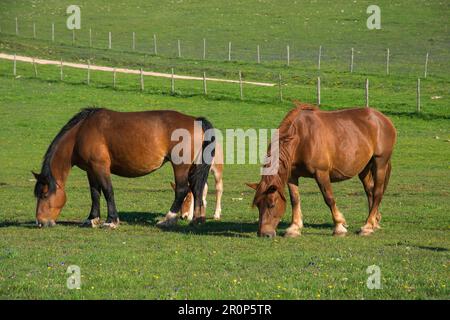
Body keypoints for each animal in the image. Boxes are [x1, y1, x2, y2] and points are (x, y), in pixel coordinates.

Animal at [32, 107, 215, 228]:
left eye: (44, 194)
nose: (40, 222)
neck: (80, 133)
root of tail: (195, 120)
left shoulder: (101, 167)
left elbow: (108, 191)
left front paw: (111, 221)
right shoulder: (91, 170)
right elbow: (95, 194)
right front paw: (92, 219)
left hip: (180, 166)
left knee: (182, 190)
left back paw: (168, 219)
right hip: (193, 167)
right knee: (197, 189)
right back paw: (197, 219)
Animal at [246, 102, 398, 238]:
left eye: (271, 205)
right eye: (258, 205)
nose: (264, 234)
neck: (302, 137)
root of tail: (383, 119)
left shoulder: (321, 173)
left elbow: (329, 198)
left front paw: (339, 226)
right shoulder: (292, 175)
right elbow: (295, 199)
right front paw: (294, 228)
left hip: (380, 163)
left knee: (377, 192)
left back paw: (367, 227)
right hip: (364, 168)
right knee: (369, 191)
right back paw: (374, 222)